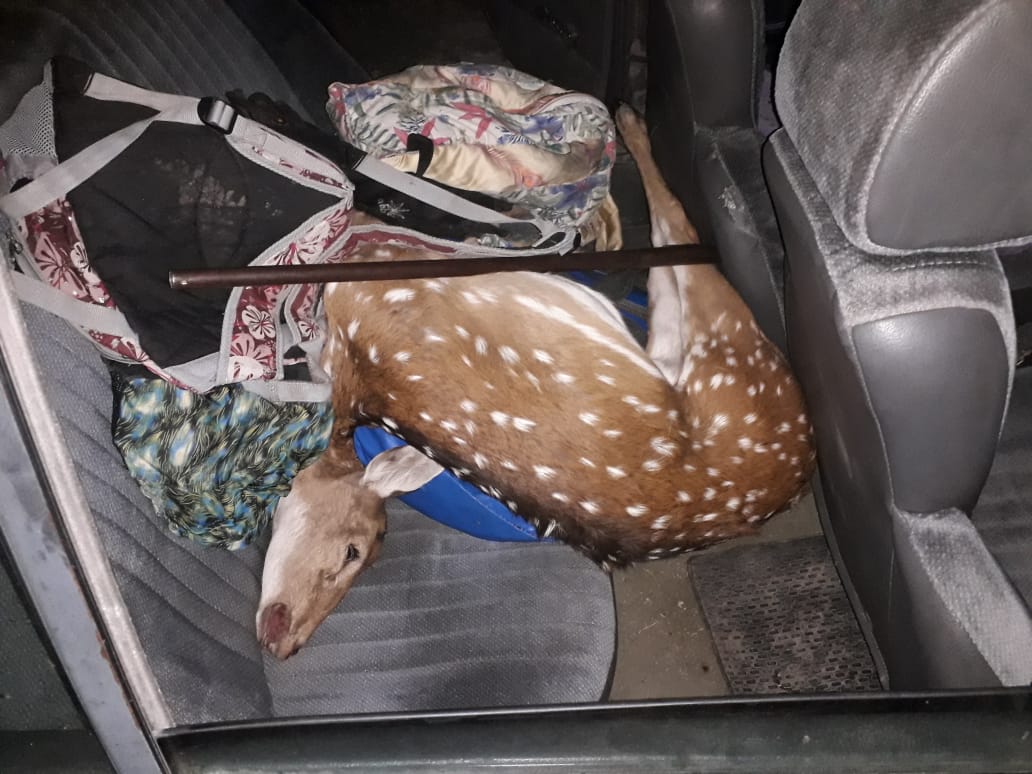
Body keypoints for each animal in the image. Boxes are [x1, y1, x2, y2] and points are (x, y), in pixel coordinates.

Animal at [256, 106, 815, 659]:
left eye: (357, 551)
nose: (287, 645)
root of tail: (798, 467)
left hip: (727, 351)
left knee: (683, 231)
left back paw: (628, 123)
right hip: (699, 341)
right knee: (675, 236)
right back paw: (629, 123)